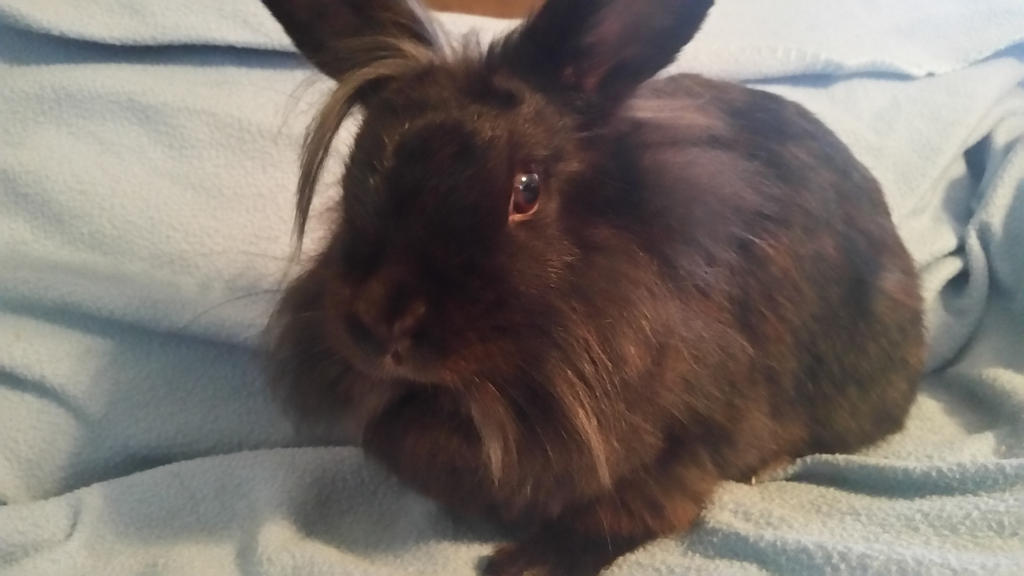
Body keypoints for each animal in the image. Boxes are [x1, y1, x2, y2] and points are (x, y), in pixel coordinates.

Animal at [260, 1, 925, 575]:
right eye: (356, 173)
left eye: (526, 190)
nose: (381, 326)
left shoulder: (689, 450)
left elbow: (632, 513)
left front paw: (523, 564)